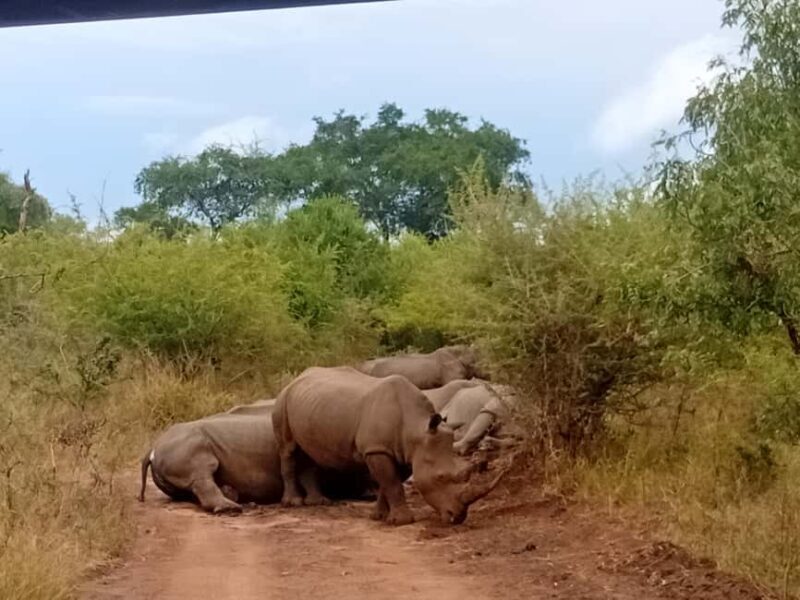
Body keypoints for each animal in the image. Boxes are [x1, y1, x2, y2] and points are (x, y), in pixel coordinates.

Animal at [273, 366, 507, 526]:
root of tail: (298, 377)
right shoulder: (377, 449)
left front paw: (380, 516)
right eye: (440, 477)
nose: (457, 517)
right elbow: (391, 482)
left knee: (309, 452)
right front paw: (402, 521)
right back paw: (293, 503)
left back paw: (319, 502)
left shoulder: (402, 451)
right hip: (282, 399)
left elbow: (389, 482)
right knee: (288, 449)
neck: (417, 429)